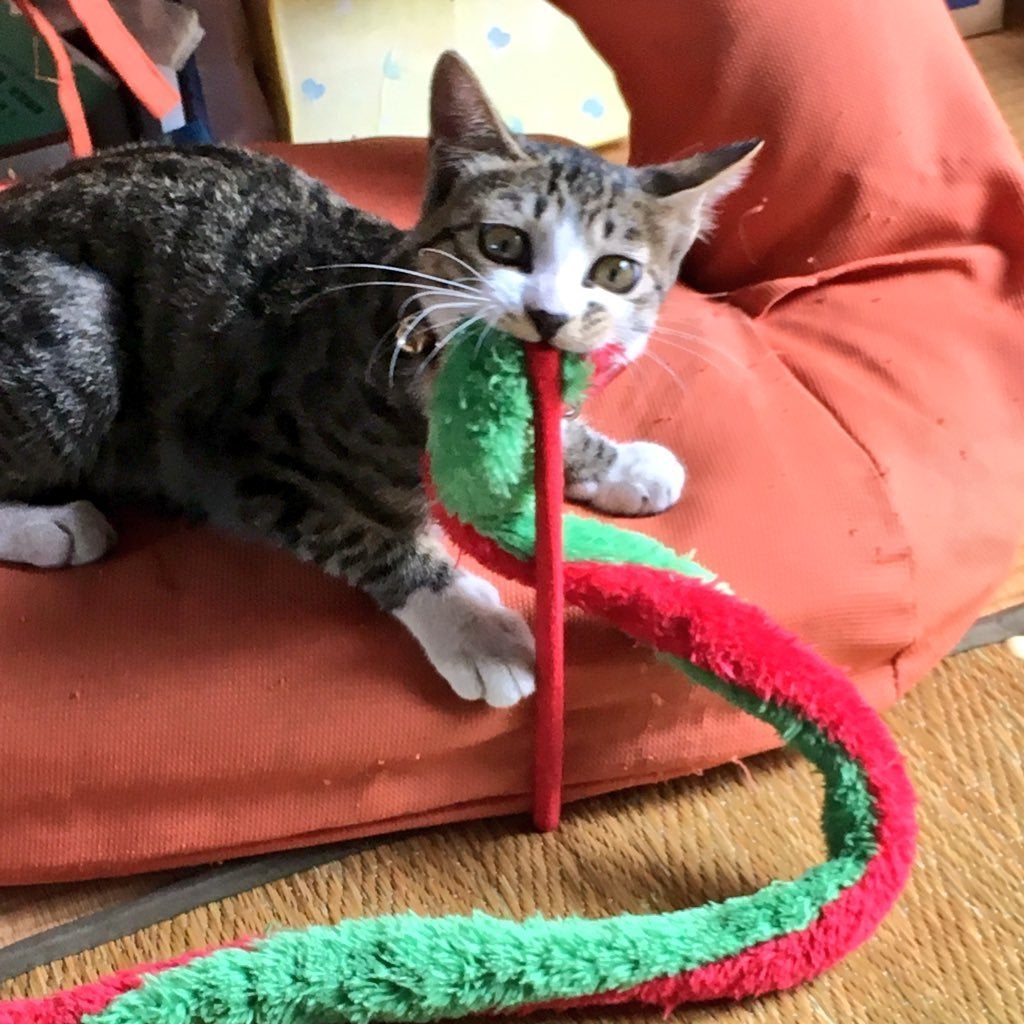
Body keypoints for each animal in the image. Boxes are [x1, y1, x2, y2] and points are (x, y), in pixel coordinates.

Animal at [0, 51, 759, 707]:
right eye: (502, 243)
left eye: (616, 272)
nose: (548, 316)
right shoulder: (238, 460)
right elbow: (363, 537)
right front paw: (466, 620)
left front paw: (617, 462)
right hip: (79, 328)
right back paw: (56, 527)